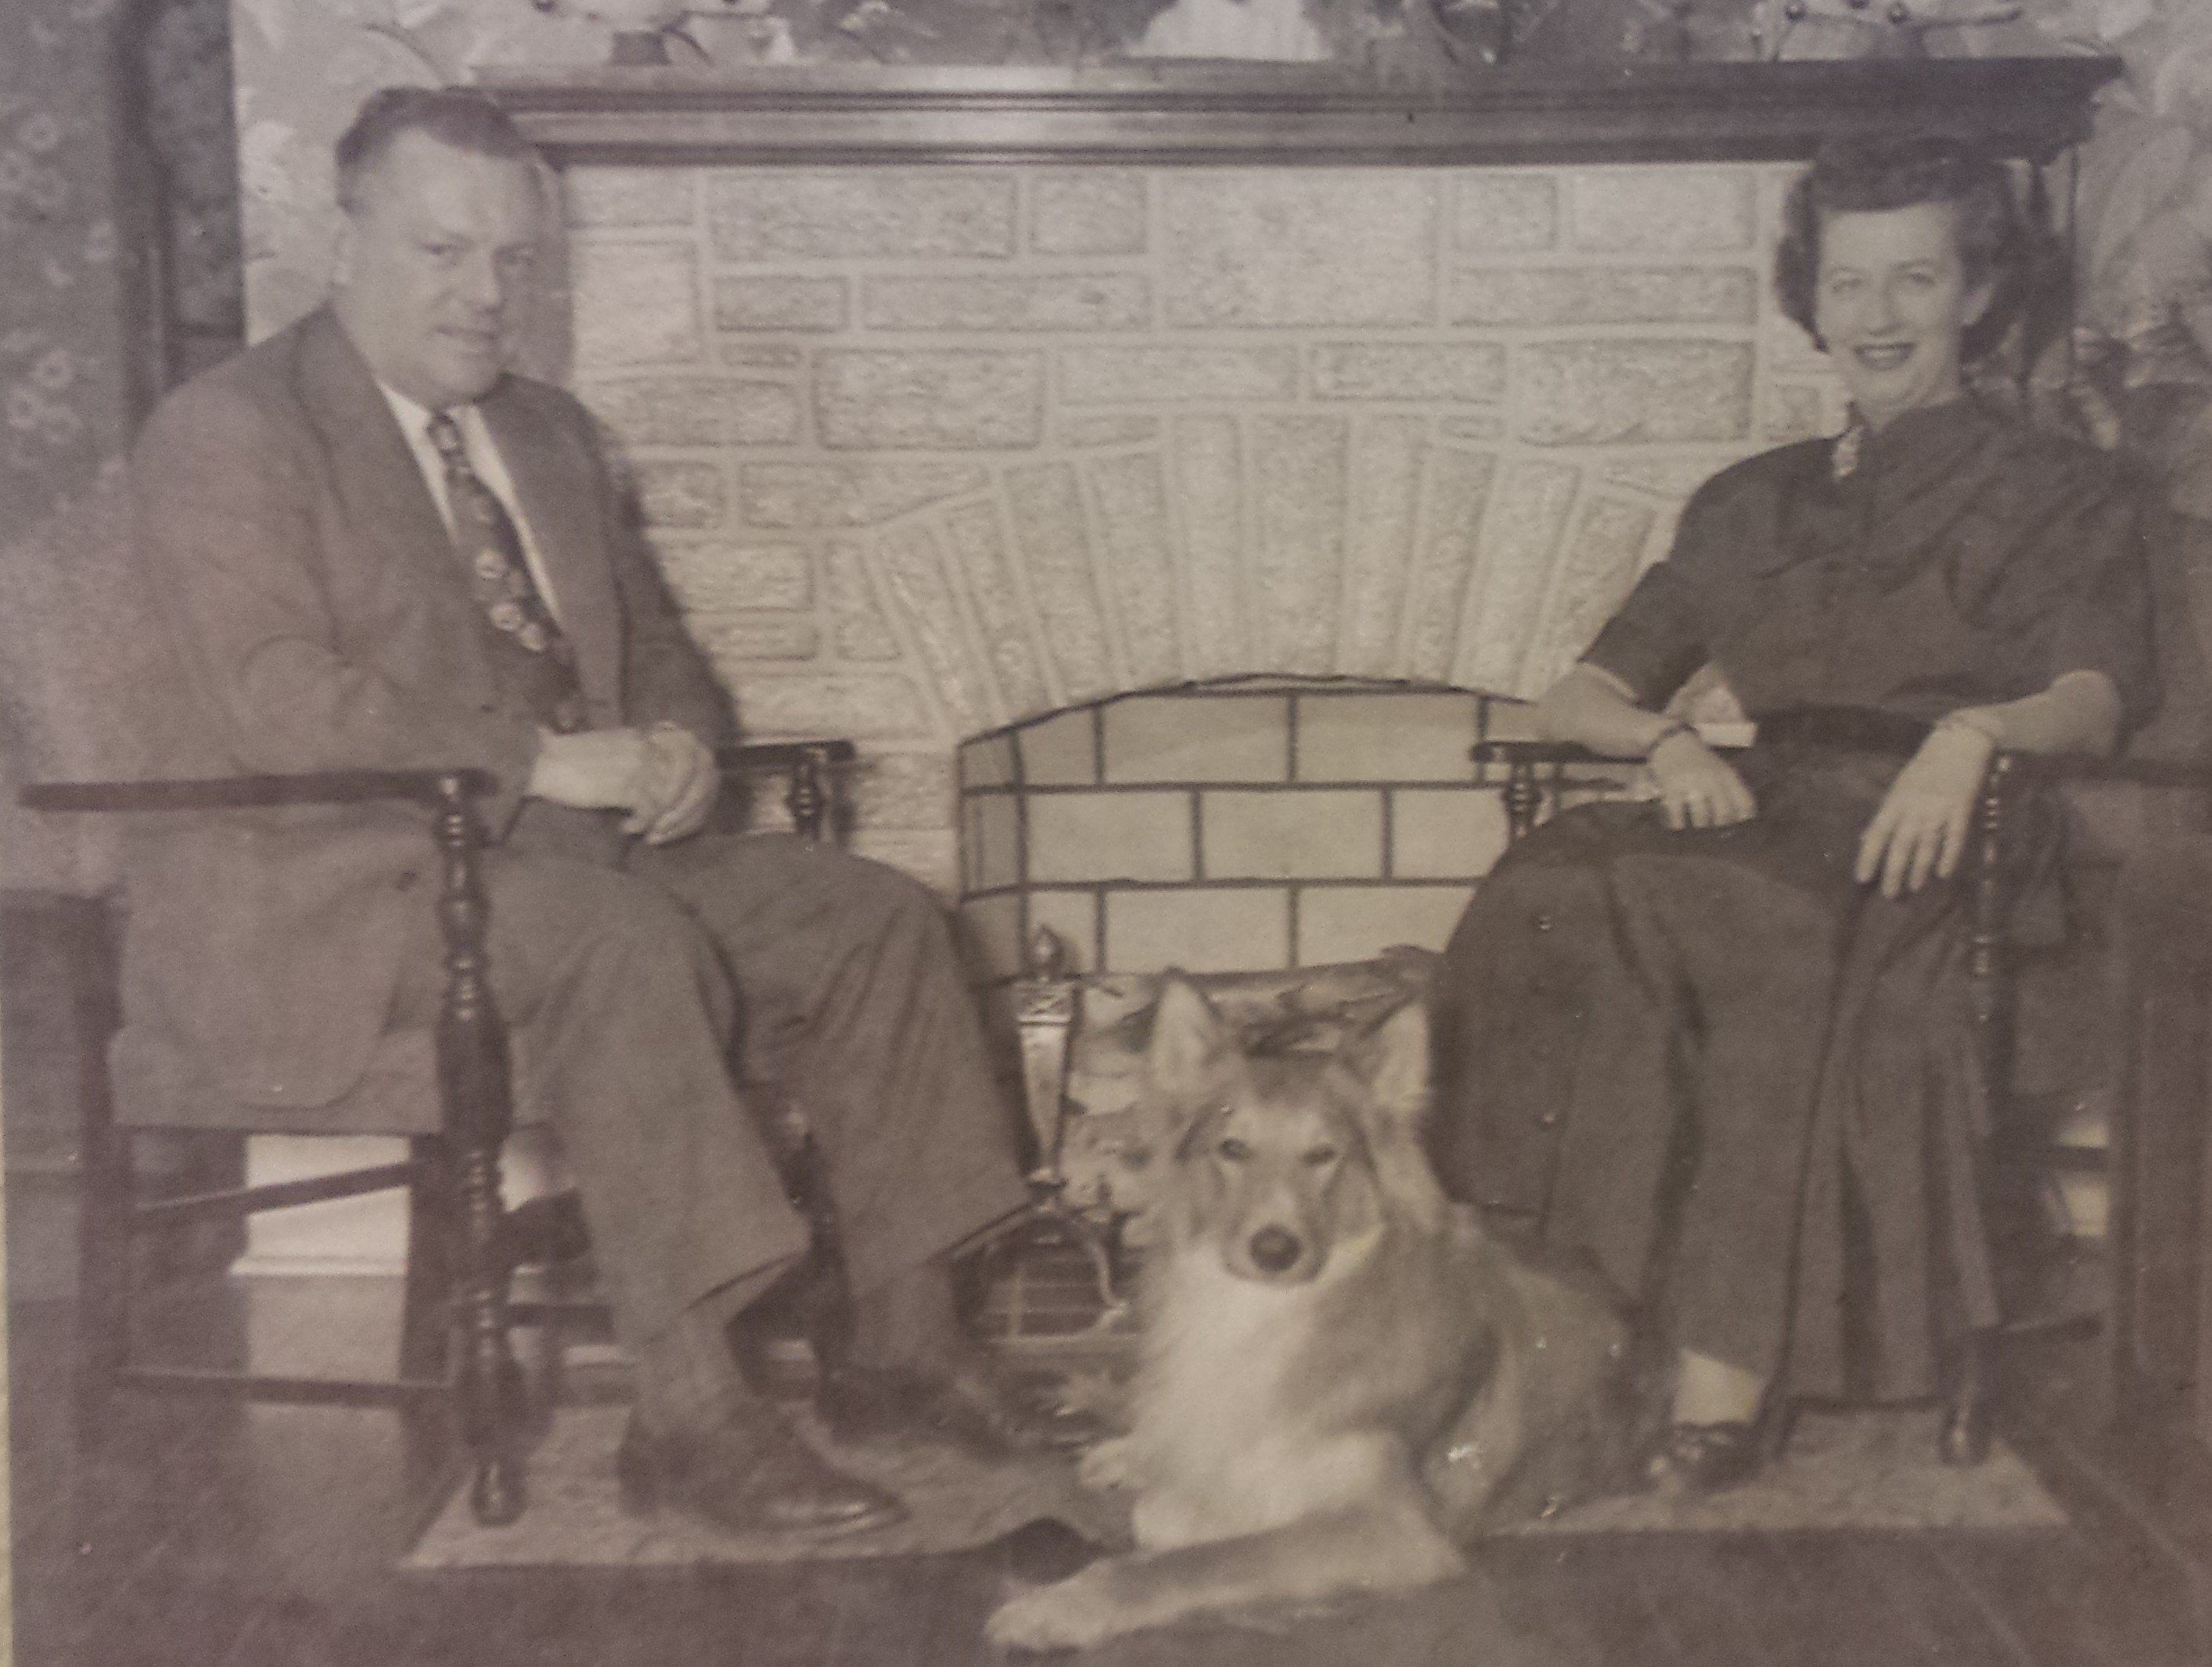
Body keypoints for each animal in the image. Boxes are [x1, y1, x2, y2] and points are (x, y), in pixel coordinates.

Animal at [987, 976, 1629, 1651]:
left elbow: (1195, 1553)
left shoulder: (1396, 1530)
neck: (1268, 1313)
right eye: (1232, 1147)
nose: (1274, 1250)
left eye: (1323, 1154)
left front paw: (1063, 1604)